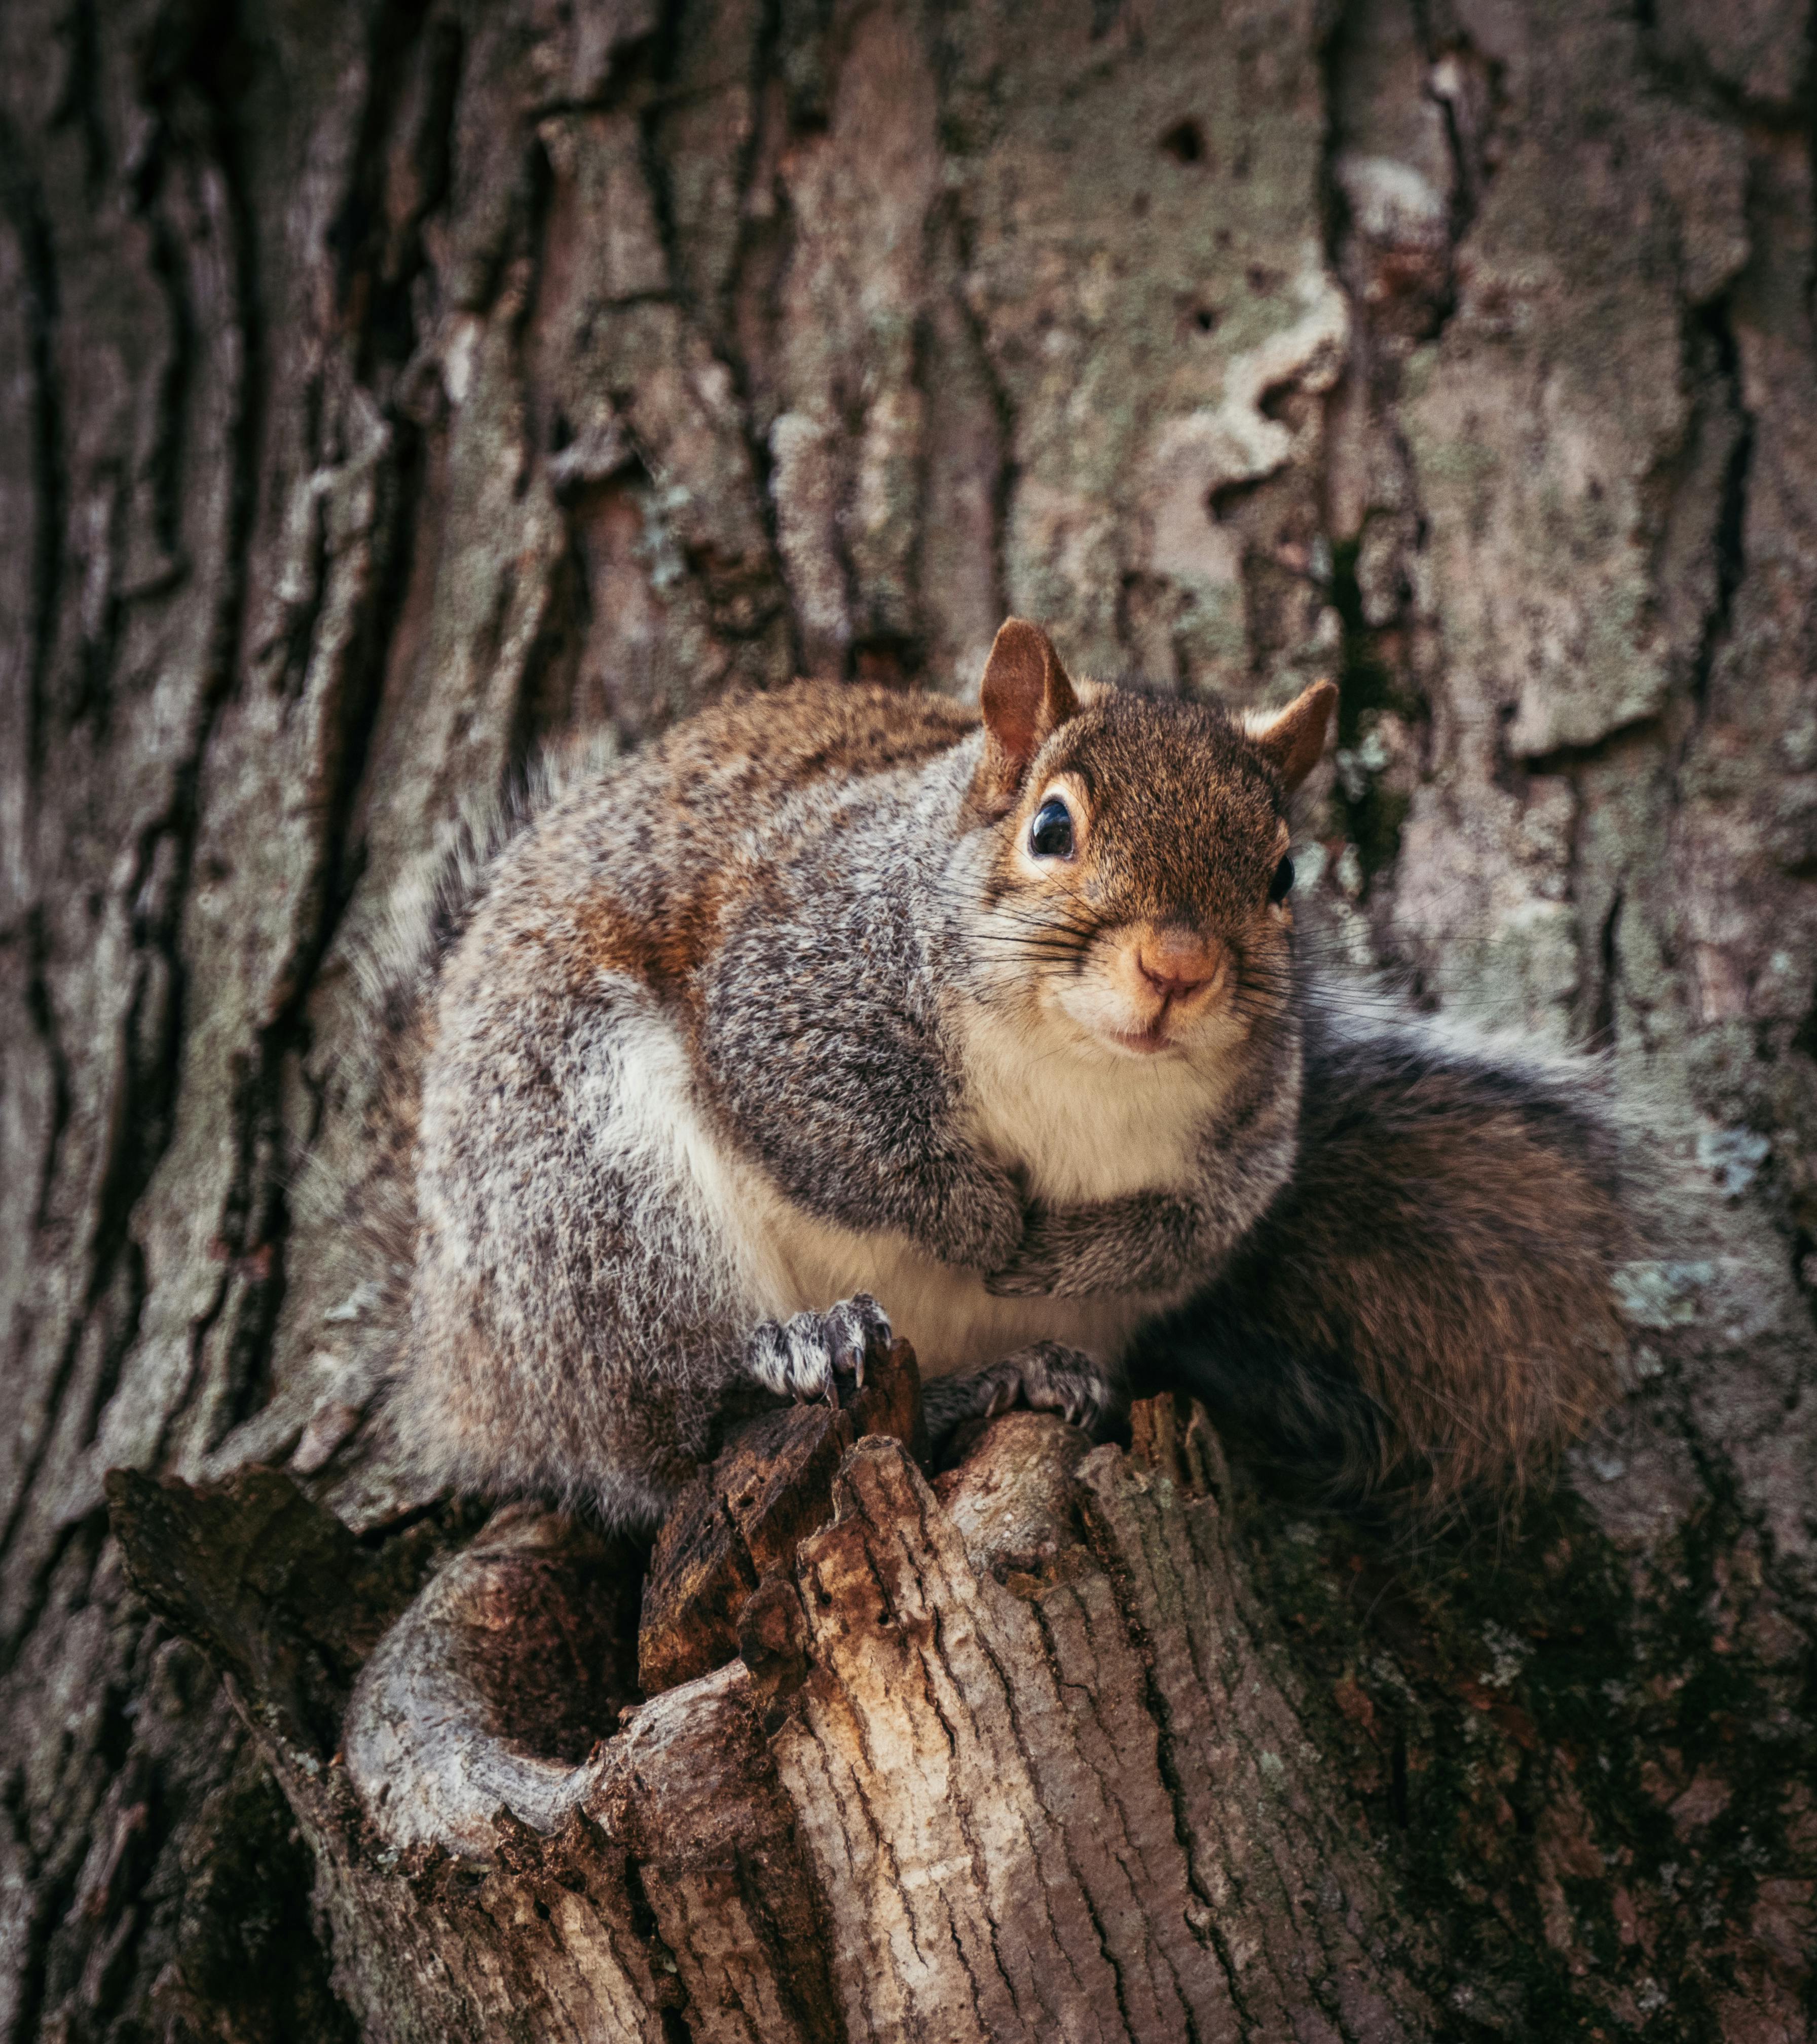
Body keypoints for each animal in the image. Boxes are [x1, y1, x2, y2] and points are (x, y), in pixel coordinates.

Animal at [378, 617, 1625, 1529]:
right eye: (1052, 827)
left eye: (1281, 876)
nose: (1178, 966)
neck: (1078, 1070)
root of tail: (458, 1360)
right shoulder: (786, 999)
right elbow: (842, 1142)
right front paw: (981, 1225)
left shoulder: (1253, 1133)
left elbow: (1194, 1226)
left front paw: (1063, 1255)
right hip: (589, 1193)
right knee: (667, 1426)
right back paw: (801, 1349)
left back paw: (1025, 1375)